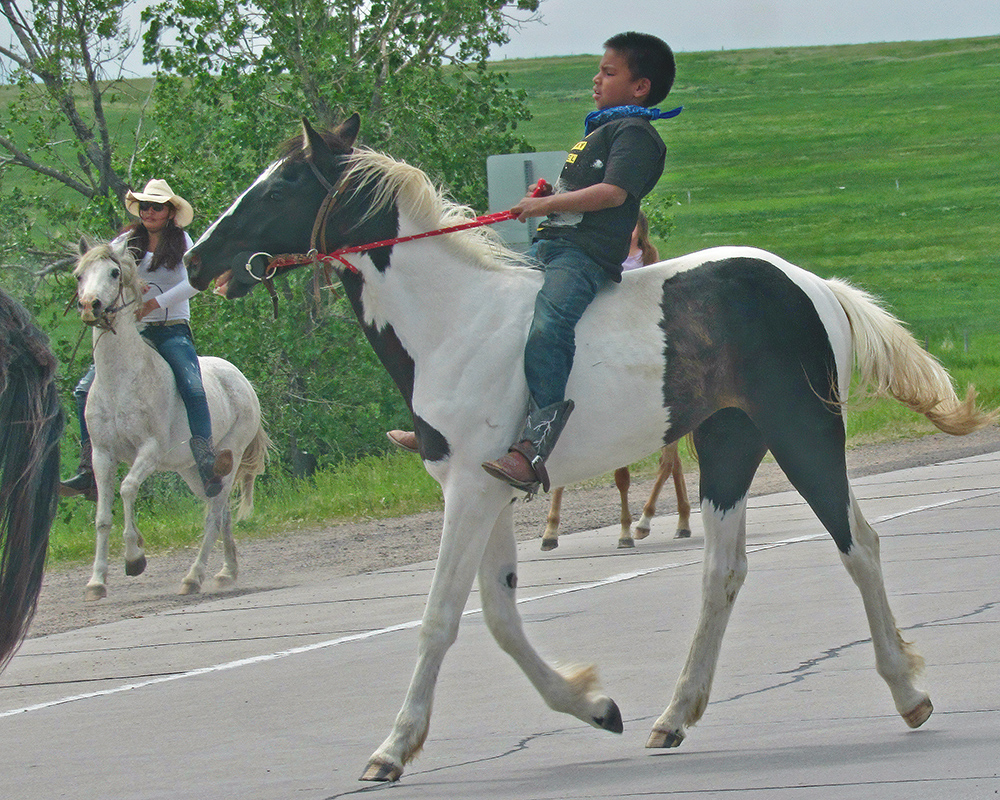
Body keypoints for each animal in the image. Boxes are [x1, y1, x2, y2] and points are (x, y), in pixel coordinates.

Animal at [73, 242, 270, 600]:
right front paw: (96, 582)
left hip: (229, 458)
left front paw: (134, 557)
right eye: (79, 274)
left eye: (114, 272)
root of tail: (241, 380)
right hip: (192, 471)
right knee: (221, 513)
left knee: (214, 516)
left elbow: (128, 489)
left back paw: (193, 577)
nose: (89, 305)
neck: (120, 380)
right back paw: (226, 572)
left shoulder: (149, 451)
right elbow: (102, 517)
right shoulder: (102, 456)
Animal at [186, 119, 992, 780]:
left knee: (858, 543)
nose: (197, 259)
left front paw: (393, 748)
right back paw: (674, 716)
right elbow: (500, 614)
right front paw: (593, 705)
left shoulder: (470, 492)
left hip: (804, 433)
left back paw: (909, 692)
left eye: (282, 183)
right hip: (728, 445)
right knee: (723, 572)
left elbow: (442, 616)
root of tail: (809, 284)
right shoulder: (487, 488)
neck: (451, 324)